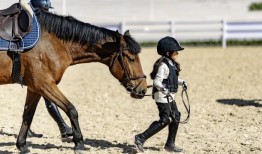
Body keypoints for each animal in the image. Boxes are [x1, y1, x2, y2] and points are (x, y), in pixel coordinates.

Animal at [0, 9, 147, 153]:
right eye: (131, 58)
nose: (143, 89)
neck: (50, 42)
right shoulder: (43, 84)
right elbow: (71, 110)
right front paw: (79, 143)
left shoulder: (34, 88)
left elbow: (28, 115)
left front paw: (22, 145)